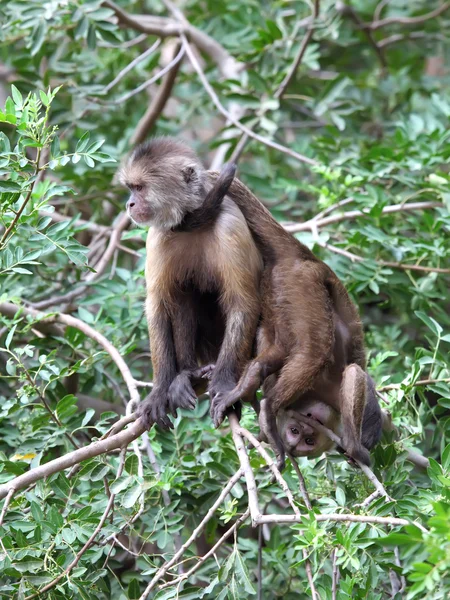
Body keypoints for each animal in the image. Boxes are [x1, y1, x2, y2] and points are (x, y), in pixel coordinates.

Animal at [119, 139, 262, 432]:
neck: (191, 220)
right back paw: (187, 373)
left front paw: (224, 384)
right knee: (183, 294)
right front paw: (159, 391)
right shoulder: (158, 235)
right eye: (131, 188)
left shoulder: (230, 227)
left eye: (139, 188)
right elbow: (158, 305)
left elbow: (243, 303)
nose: (129, 203)